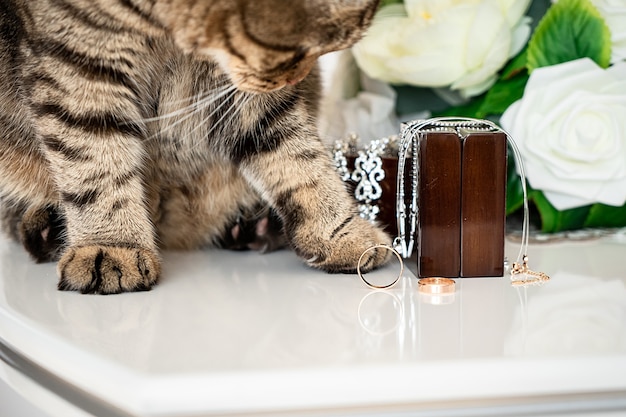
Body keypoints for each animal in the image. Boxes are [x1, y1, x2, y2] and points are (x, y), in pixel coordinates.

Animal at [0, 0, 390, 292]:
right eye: (304, 51)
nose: (297, 78)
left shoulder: (239, 89)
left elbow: (298, 155)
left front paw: (340, 234)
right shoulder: (78, 63)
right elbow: (95, 162)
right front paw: (112, 244)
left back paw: (256, 227)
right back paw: (48, 229)